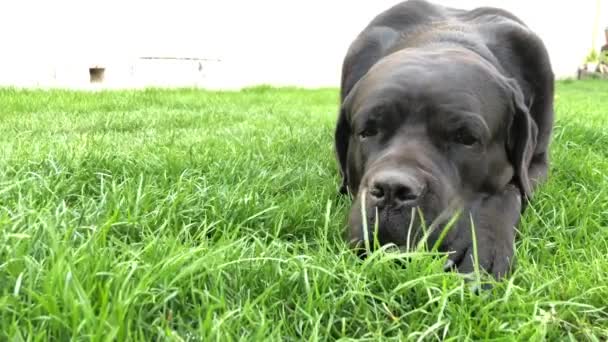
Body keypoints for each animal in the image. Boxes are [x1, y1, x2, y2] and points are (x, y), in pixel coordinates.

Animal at [334, 0, 552, 280]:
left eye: (466, 138)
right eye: (368, 131)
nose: (392, 190)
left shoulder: (538, 164)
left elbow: (512, 191)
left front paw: (483, 247)